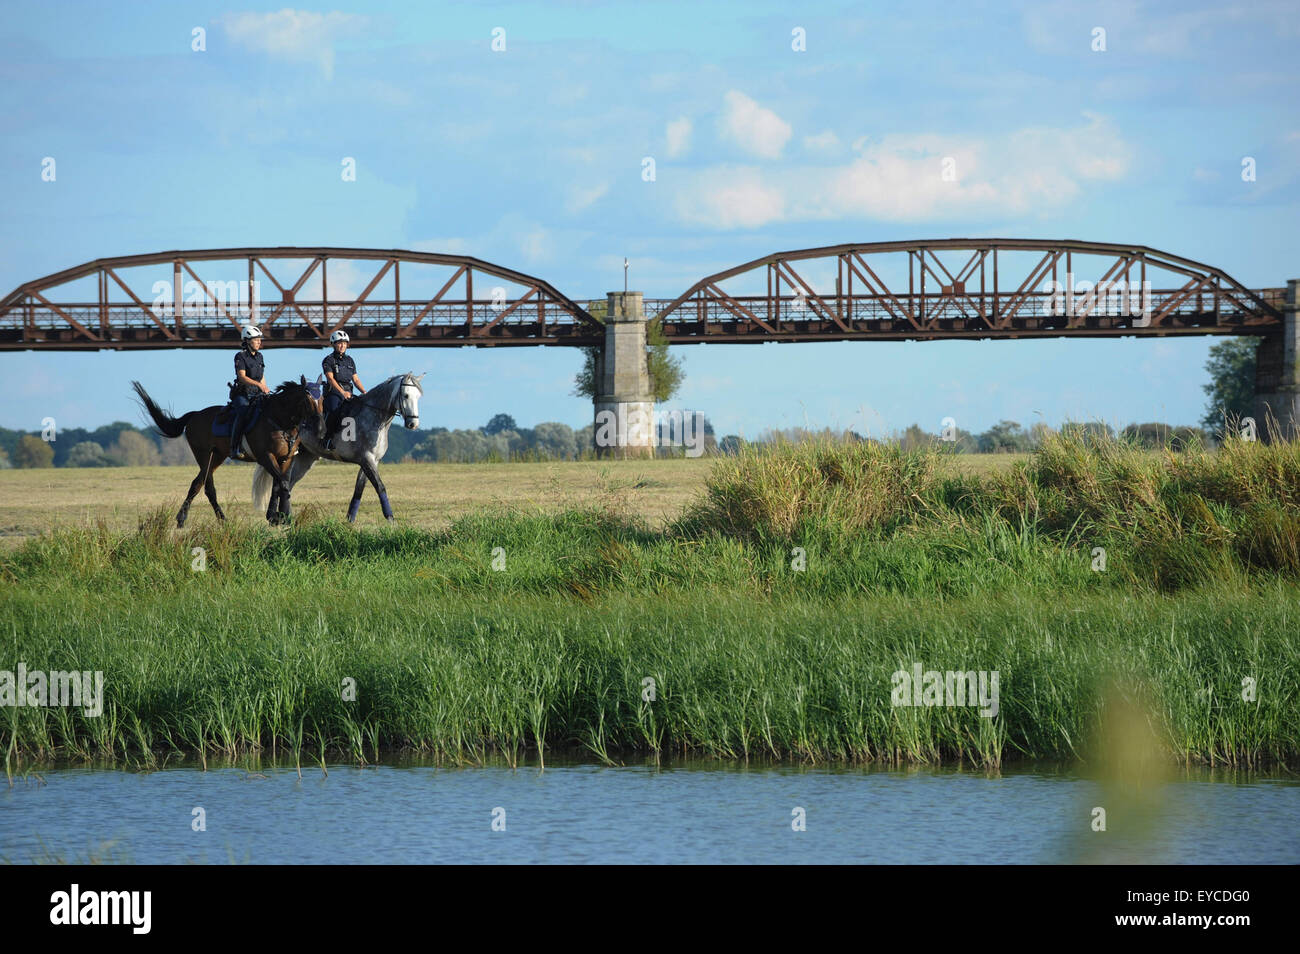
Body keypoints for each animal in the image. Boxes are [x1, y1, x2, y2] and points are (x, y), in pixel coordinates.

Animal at [132, 379, 325, 530]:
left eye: (322, 399)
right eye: (307, 399)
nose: (321, 430)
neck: (279, 420)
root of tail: (195, 415)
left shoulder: (286, 459)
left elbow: (279, 484)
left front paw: (279, 516)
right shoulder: (266, 457)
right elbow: (283, 483)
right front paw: (280, 516)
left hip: (217, 457)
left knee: (196, 484)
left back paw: (182, 519)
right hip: (204, 456)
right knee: (208, 487)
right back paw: (221, 519)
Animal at [248, 371, 421, 522]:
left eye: (418, 396)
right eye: (406, 395)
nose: (413, 424)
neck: (373, 417)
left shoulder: (371, 461)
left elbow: (359, 490)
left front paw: (350, 520)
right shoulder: (367, 460)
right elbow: (380, 487)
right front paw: (390, 518)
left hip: (304, 459)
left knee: (288, 485)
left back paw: (283, 517)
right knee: (284, 484)